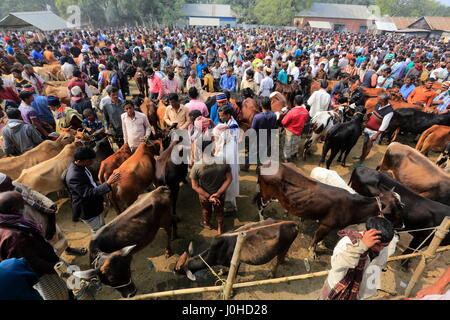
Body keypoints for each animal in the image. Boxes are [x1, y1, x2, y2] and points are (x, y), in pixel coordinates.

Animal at [255, 162, 406, 258]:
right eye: (397, 208)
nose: (403, 225)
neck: (352, 206)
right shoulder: (326, 224)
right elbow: (316, 238)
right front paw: (313, 252)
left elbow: (321, 238)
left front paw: (321, 245)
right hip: (266, 196)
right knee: (259, 205)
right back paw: (262, 220)